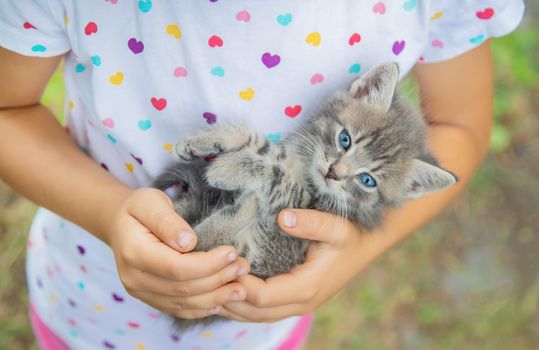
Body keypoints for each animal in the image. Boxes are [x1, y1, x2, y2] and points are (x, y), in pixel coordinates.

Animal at [154, 63, 458, 330]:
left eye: (367, 180)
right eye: (345, 139)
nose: (333, 173)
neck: (308, 175)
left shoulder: (300, 211)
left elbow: (278, 177)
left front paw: (229, 167)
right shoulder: (288, 157)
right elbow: (260, 145)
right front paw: (205, 141)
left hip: (263, 254)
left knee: (207, 242)